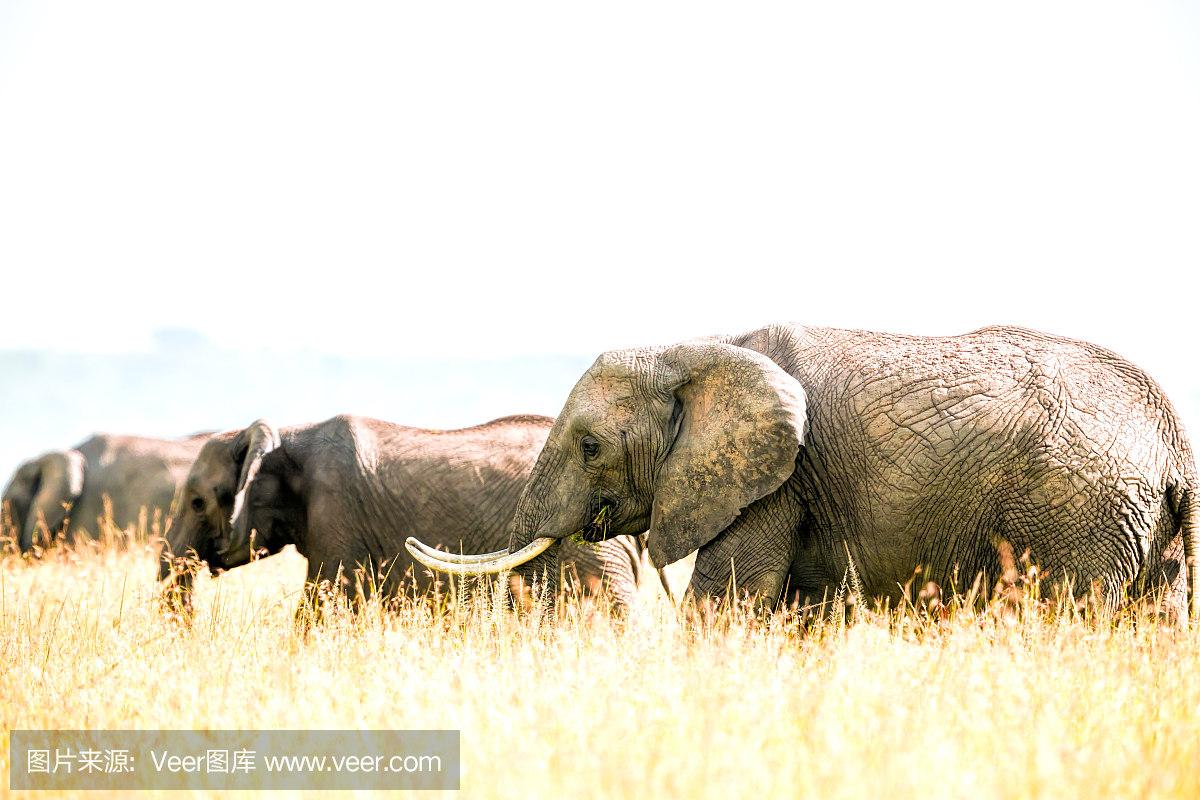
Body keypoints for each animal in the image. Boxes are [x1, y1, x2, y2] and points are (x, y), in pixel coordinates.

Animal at [405, 321, 1200, 623]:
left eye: (592, 447)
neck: (698, 348)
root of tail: (1176, 449)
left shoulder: (776, 481)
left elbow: (728, 599)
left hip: (1080, 511)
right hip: (1140, 524)